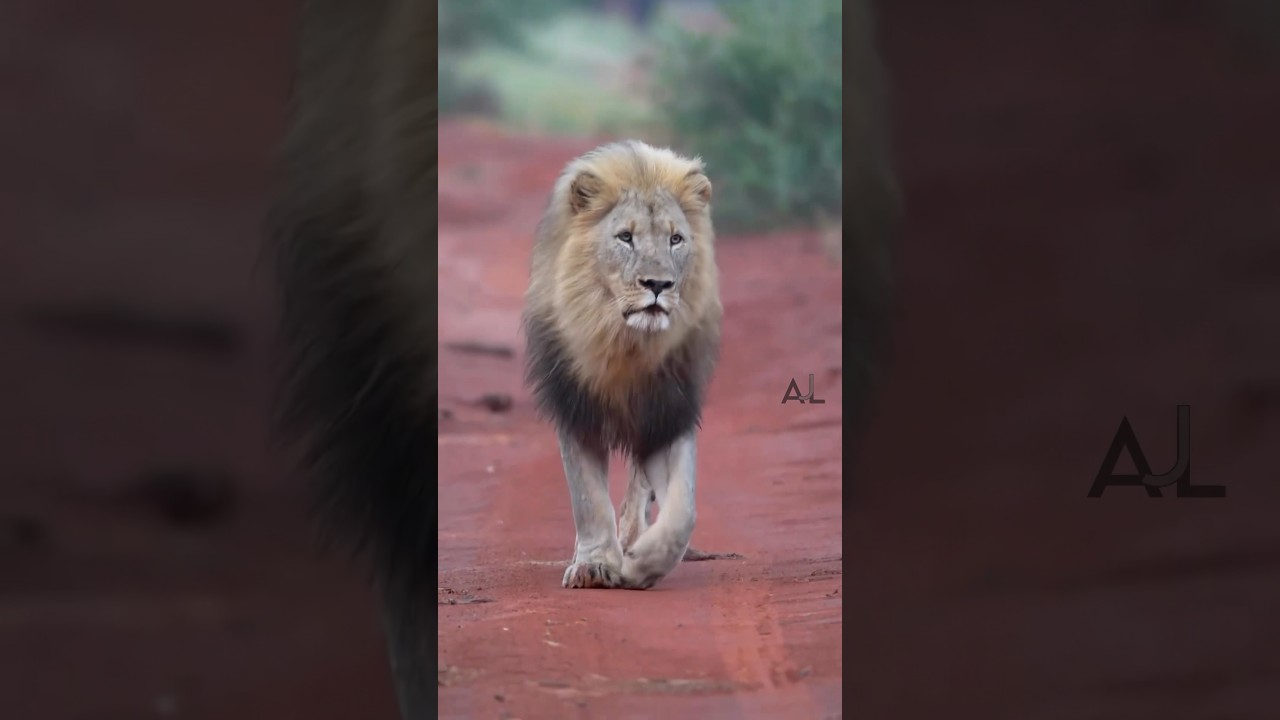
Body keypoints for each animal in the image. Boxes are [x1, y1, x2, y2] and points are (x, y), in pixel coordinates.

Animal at [522, 140, 723, 590]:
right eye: (625, 238)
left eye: (676, 239)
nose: (658, 285)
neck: (625, 345)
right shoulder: (576, 408)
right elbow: (588, 499)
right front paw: (595, 565)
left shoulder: (669, 412)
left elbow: (682, 512)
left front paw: (644, 562)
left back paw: (633, 541)